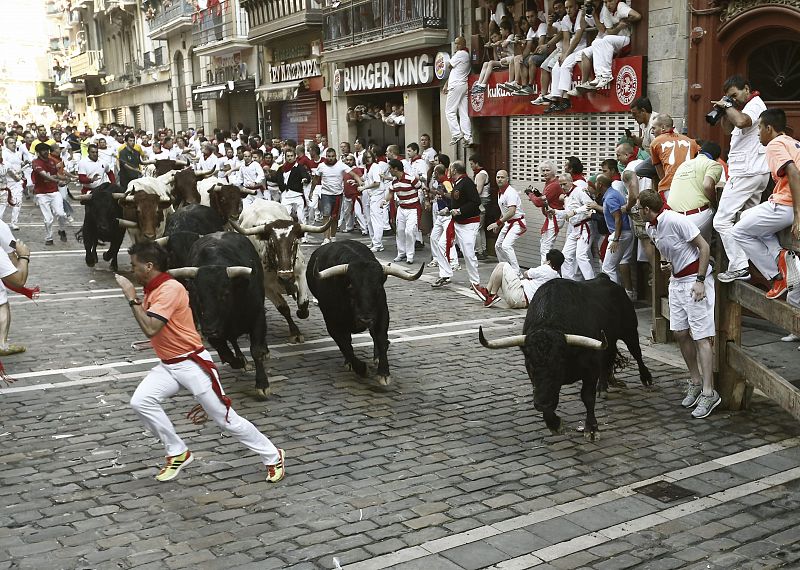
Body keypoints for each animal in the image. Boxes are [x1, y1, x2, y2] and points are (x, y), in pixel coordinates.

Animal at [478, 276, 652, 440]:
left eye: (557, 364)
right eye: (530, 365)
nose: (541, 403)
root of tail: (607, 280)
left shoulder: (591, 367)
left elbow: (587, 397)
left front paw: (592, 429)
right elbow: (548, 406)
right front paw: (555, 424)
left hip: (629, 331)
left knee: (637, 353)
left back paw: (646, 378)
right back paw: (602, 387)